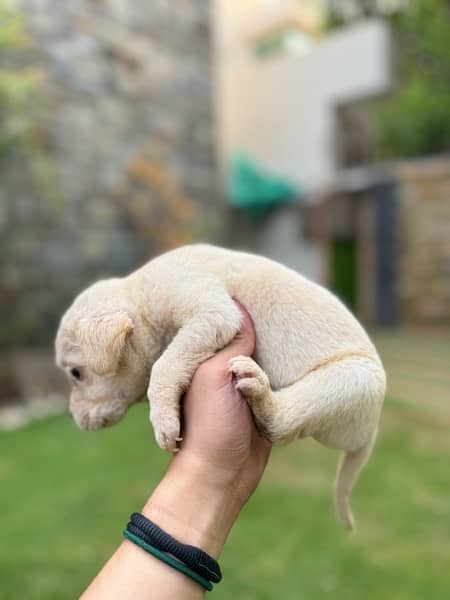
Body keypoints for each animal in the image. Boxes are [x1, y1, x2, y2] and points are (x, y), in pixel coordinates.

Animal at [57, 241, 386, 528]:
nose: (74, 418)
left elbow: (165, 365)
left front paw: (163, 421)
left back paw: (261, 393)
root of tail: (370, 433)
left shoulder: (214, 313)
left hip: (350, 382)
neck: (140, 296)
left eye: (76, 373)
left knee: (282, 422)